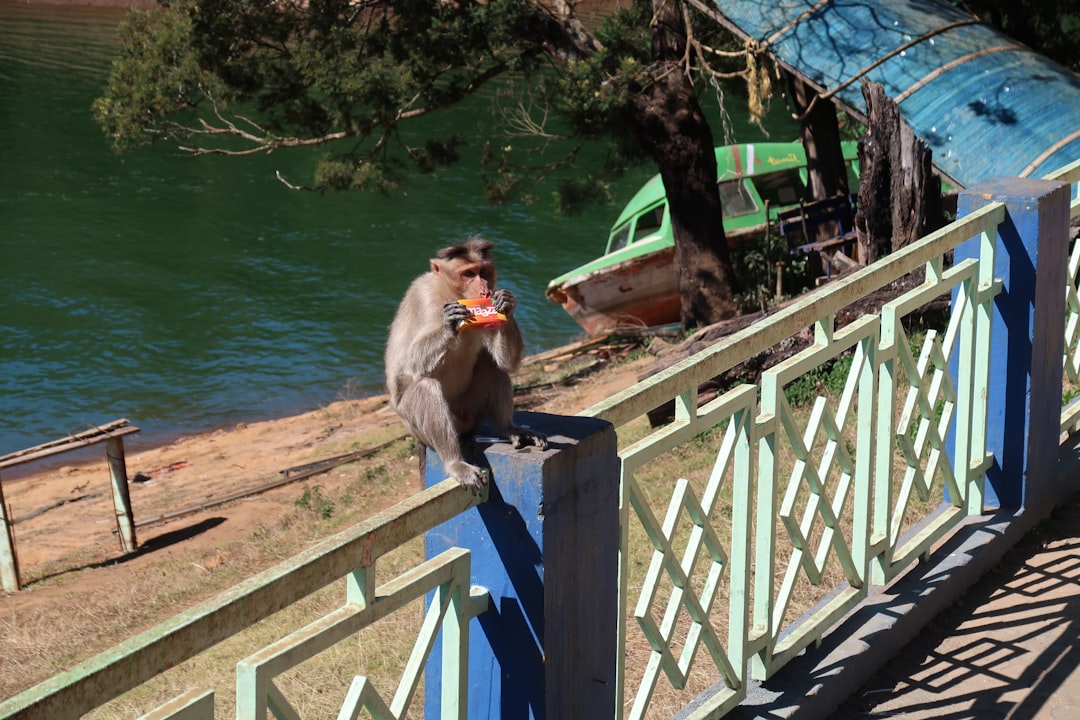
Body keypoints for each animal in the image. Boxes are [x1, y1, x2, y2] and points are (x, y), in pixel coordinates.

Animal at [386, 236, 548, 496]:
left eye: (483, 271)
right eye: (468, 273)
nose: (483, 288)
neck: (449, 292)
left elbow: (505, 362)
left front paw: (506, 304)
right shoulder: (424, 296)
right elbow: (409, 364)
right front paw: (450, 323)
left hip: (472, 410)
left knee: (493, 366)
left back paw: (508, 428)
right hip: (412, 423)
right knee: (425, 387)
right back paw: (455, 463)